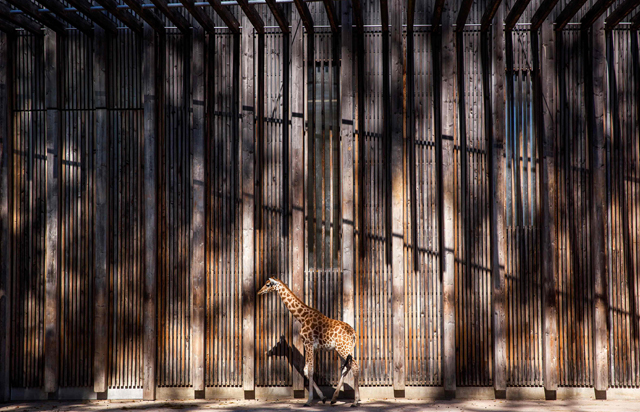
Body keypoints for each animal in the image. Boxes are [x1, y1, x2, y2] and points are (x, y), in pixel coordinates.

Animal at [258, 276, 360, 408]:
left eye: (268, 284)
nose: (259, 292)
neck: (302, 317)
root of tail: (354, 333)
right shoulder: (314, 347)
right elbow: (306, 370)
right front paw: (323, 397)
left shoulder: (308, 344)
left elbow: (310, 370)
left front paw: (309, 400)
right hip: (342, 350)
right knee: (347, 367)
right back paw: (334, 399)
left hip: (343, 348)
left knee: (355, 367)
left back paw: (355, 402)